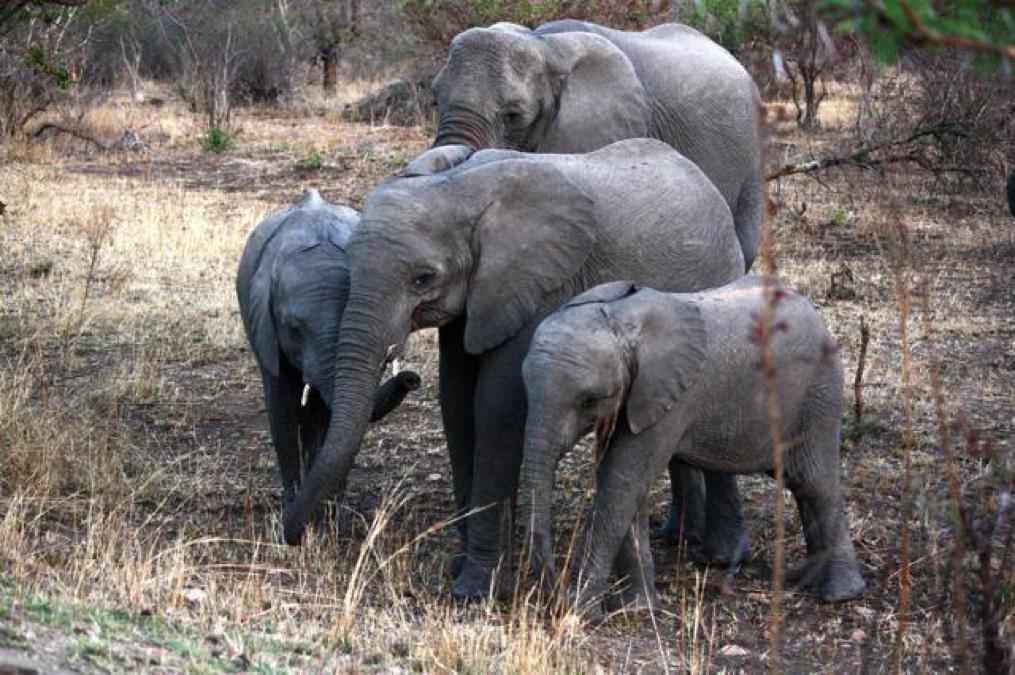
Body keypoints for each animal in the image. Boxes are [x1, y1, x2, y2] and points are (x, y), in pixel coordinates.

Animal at [236, 190, 421, 510]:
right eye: (294, 329)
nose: (411, 378)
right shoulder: (265, 331)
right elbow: (283, 411)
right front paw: (293, 507)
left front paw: (328, 513)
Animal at [281, 138, 748, 601]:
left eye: (423, 278)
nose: (293, 538)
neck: (458, 187)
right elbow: (457, 402)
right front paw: (465, 569)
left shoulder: (540, 282)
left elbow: (496, 407)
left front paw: (474, 590)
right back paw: (682, 538)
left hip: (719, 273)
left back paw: (718, 557)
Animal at [518, 276, 866, 617]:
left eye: (589, 399)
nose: (548, 592)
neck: (623, 319)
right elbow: (625, 485)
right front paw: (636, 609)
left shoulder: (673, 400)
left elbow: (621, 482)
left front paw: (577, 611)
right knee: (800, 484)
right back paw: (808, 580)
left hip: (818, 394)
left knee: (814, 482)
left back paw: (840, 594)